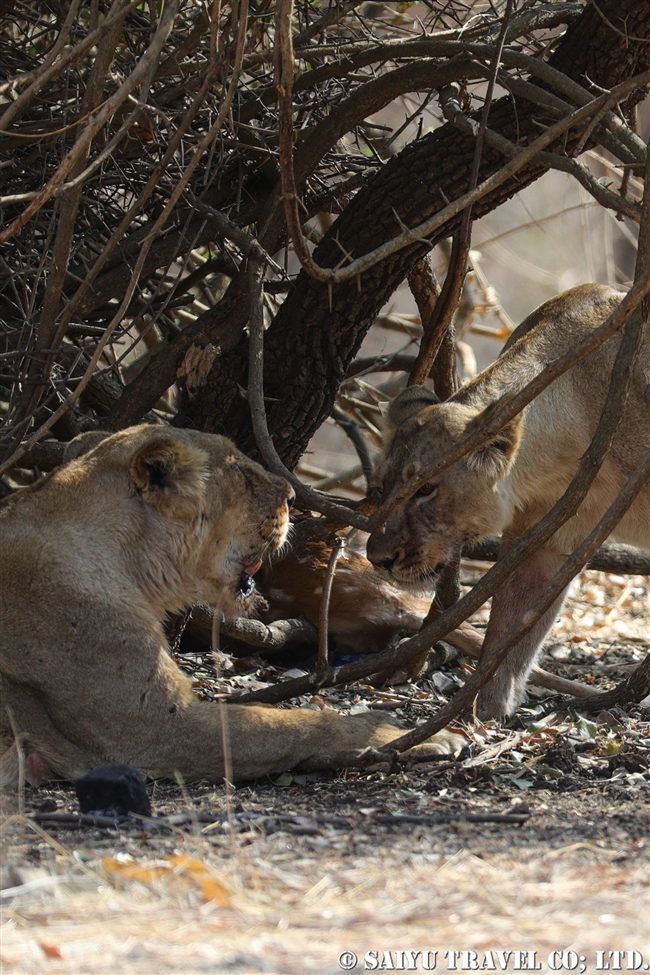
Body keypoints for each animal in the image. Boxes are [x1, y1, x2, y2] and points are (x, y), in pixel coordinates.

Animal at [2, 426, 456, 784]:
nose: (292, 495)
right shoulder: (152, 731)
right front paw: (402, 733)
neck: (127, 563)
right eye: (242, 473)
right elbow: (282, 722)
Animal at [368, 286, 644, 720]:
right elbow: (511, 622)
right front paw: (486, 709)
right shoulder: (543, 536)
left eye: (426, 489)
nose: (377, 559)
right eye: (383, 489)